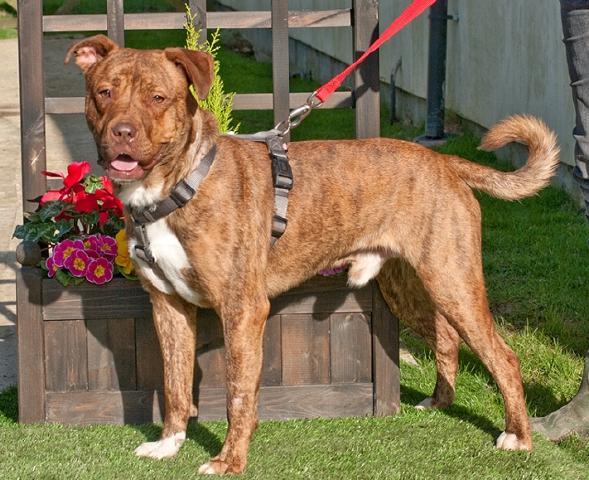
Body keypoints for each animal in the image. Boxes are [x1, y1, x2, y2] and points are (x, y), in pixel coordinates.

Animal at [66, 35, 560, 474]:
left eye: (158, 98)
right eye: (104, 92)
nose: (122, 132)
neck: (177, 185)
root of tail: (445, 162)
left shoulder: (242, 309)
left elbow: (238, 393)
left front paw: (229, 462)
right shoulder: (168, 306)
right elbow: (174, 384)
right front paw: (169, 444)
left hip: (452, 280)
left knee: (502, 357)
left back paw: (518, 436)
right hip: (407, 286)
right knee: (446, 337)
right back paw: (439, 401)